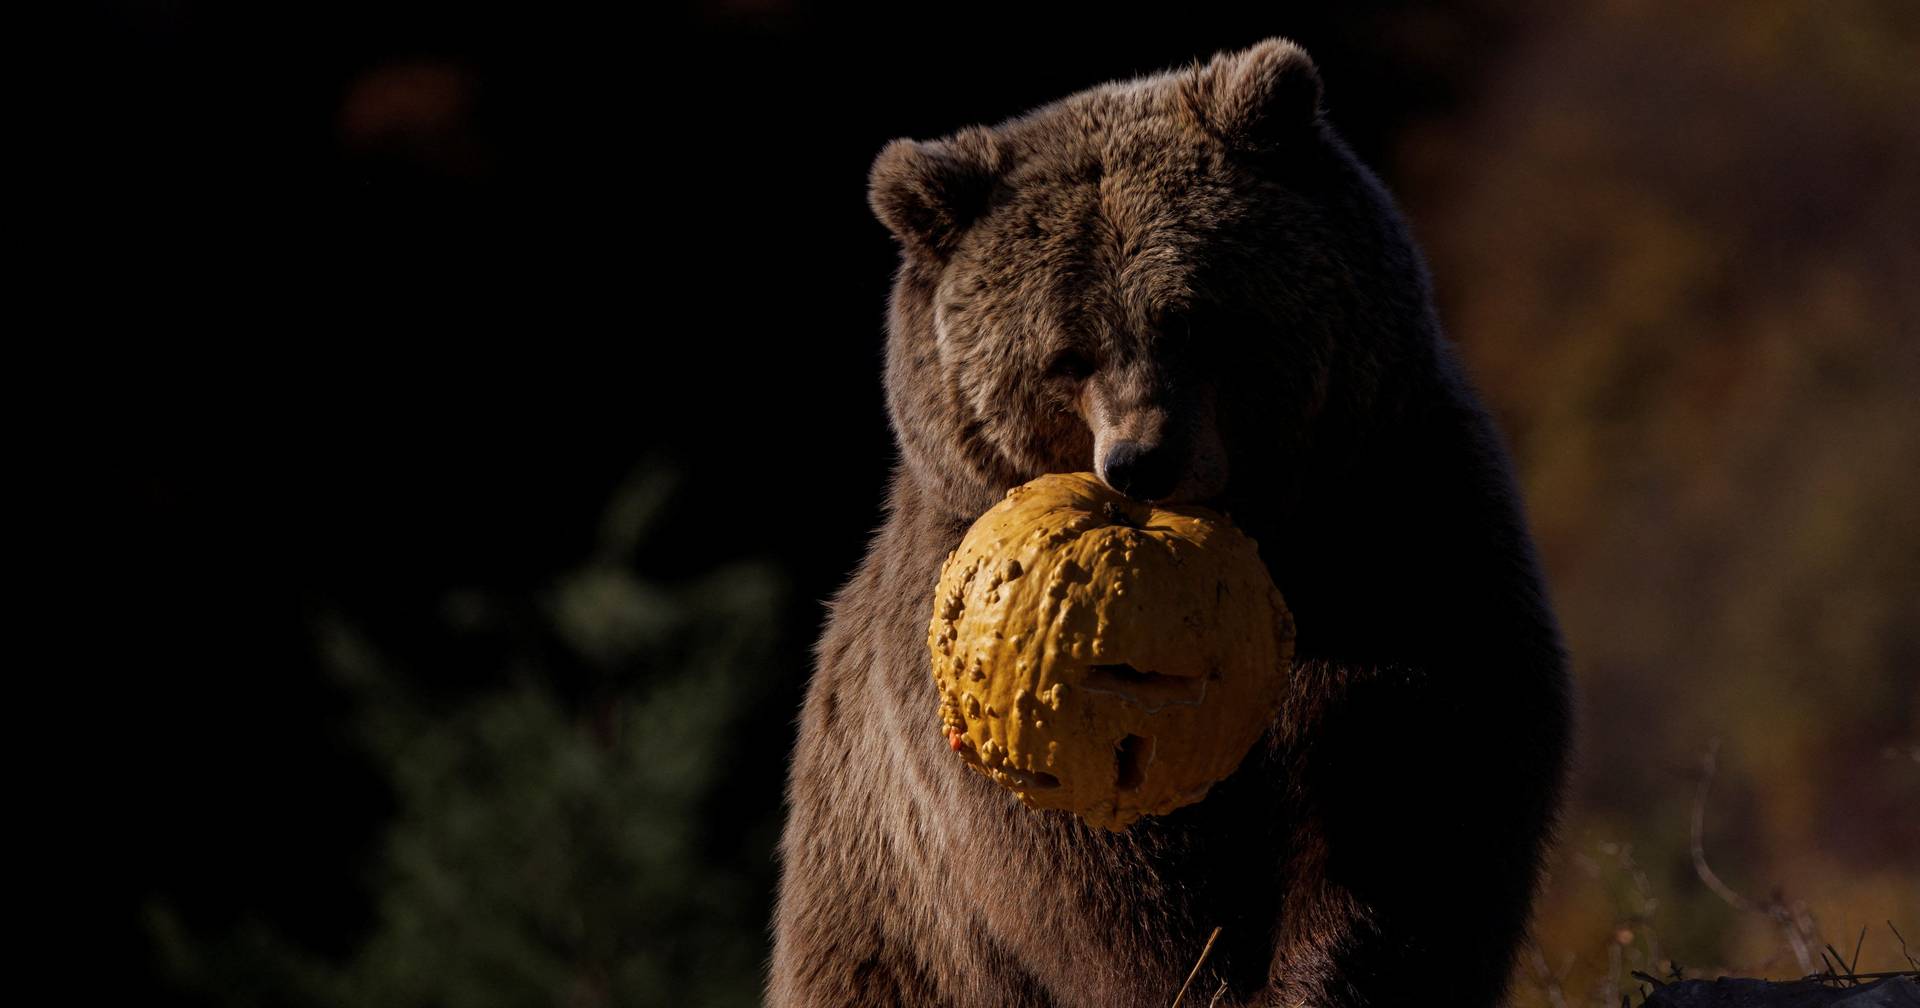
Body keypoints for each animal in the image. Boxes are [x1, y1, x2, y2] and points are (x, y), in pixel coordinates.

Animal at [769, 38, 1571, 1008]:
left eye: (1192, 319)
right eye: (1066, 354)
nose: (1142, 459)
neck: (1257, 554)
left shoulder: (1387, 521)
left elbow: (1421, 783)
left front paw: (1328, 969)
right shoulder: (966, 678)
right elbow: (1100, 871)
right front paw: (1202, 974)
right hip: (883, 943)